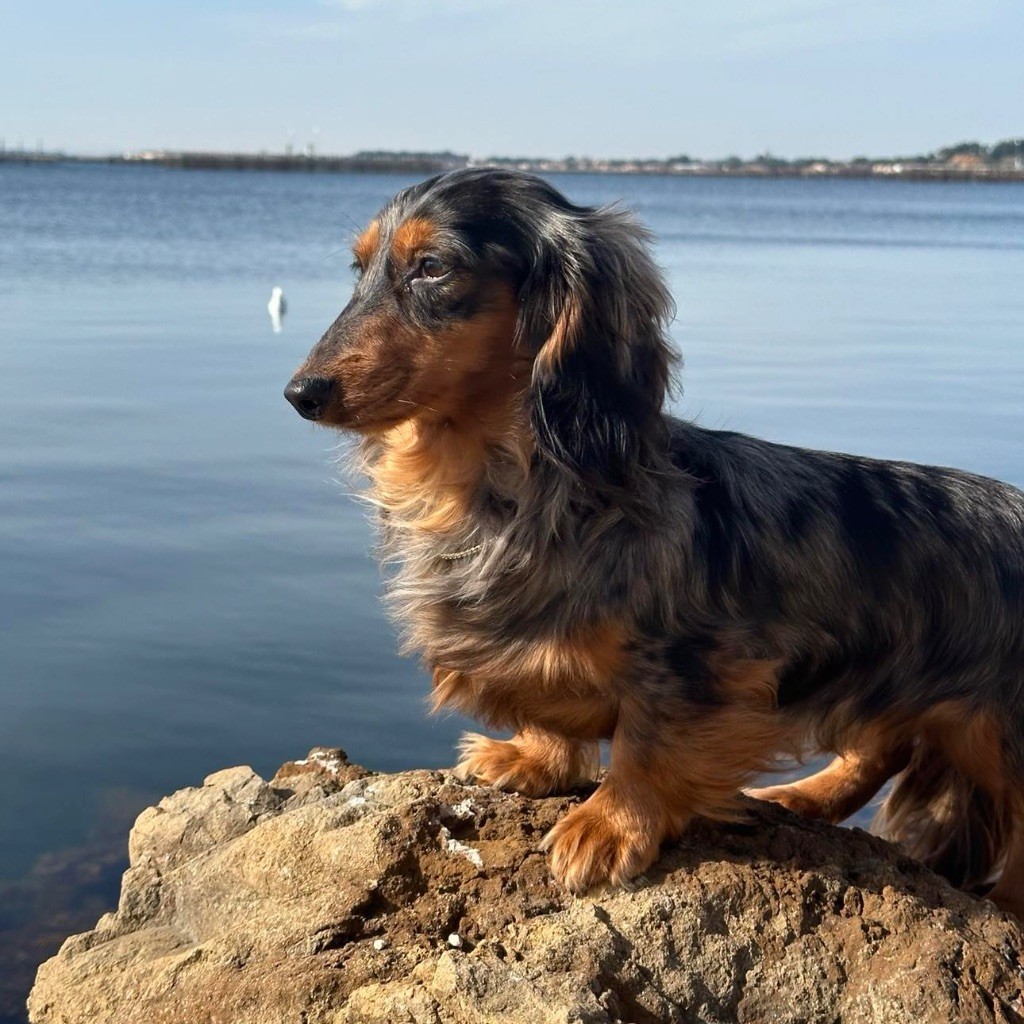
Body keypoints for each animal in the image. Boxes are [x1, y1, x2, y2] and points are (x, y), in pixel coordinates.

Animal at [285, 168, 1024, 913]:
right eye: (359, 268)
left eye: (433, 266)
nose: (300, 394)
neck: (511, 488)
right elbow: (551, 702)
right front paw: (534, 756)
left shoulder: (697, 665)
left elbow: (648, 741)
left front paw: (609, 824)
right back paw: (798, 797)